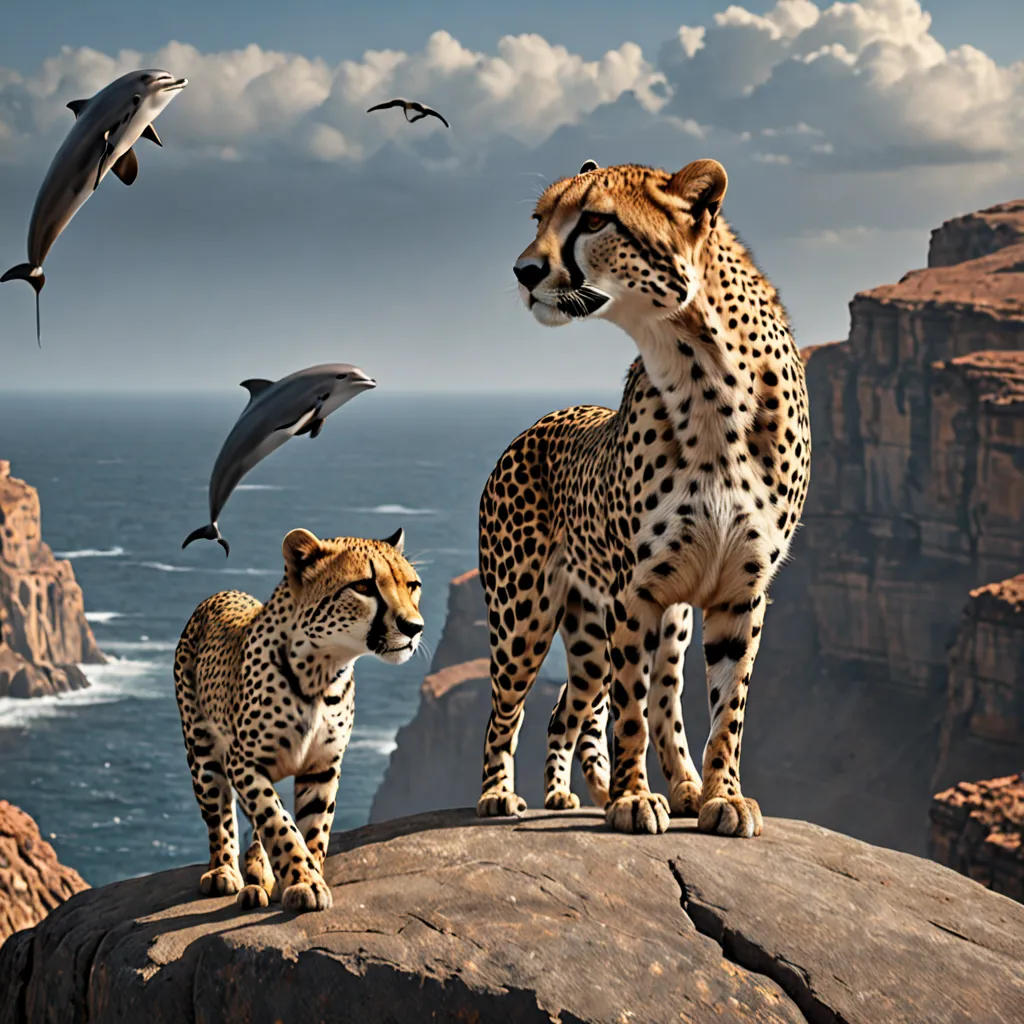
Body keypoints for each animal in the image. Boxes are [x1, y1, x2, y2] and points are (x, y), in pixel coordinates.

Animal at [173, 526, 423, 912]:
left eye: (412, 585)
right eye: (364, 586)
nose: (414, 627)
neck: (323, 672)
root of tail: (219, 594)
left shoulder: (322, 766)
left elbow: (313, 829)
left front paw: (307, 874)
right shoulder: (243, 762)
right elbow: (278, 821)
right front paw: (303, 880)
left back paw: (259, 877)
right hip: (202, 753)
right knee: (220, 816)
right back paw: (224, 872)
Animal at [476, 158, 810, 838]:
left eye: (595, 221)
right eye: (539, 218)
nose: (524, 271)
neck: (706, 374)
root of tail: (536, 423)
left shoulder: (740, 591)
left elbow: (726, 712)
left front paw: (722, 796)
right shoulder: (633, 593)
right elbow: (629, 710)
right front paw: (633, 799)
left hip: (636, 623)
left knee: (604, 704)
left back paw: (666, 787)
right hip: (526, 616)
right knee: (510, 710)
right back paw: (503, 794)